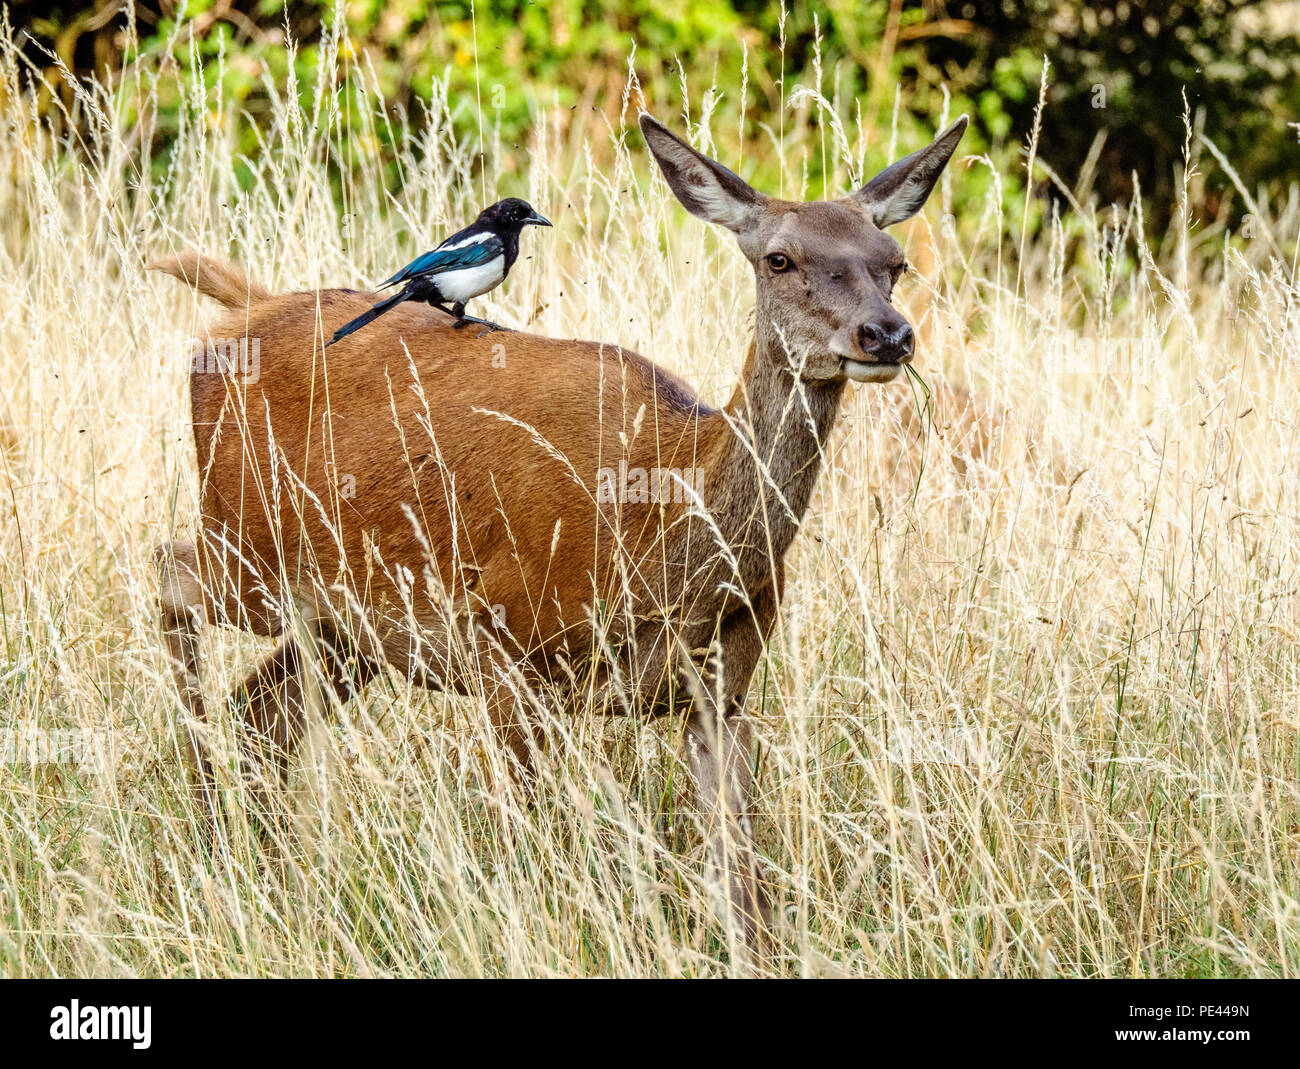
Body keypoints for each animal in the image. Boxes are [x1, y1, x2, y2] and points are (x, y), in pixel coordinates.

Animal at [152, 113, 967, 967]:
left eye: (894, 262)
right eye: (780, 257)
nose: (886, 334)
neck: (657, 530)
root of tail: (236, 318)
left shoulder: (723, 690)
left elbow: (746, 883)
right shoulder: (505, 640)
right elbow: (525, 845)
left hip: (346, 624)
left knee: (260, 715)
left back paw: (261, 858)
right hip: (250, 537)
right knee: (168, 572)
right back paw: (204, 813)